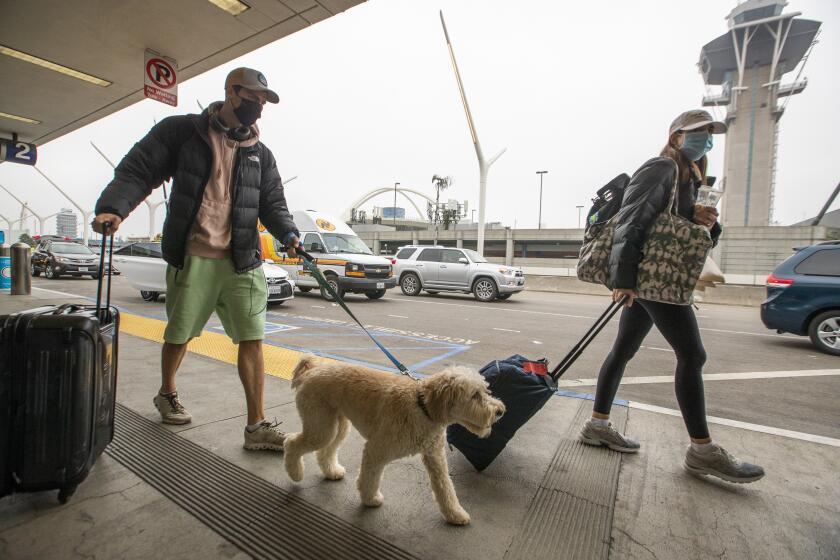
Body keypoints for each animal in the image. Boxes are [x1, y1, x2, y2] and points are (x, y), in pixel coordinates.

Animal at [282, 354, 506, 524]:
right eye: (474, 395)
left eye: (485, 391)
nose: (500, 411)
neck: (422, 408)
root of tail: (312, 368)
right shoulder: (376, 450)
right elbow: (369, 479)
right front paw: (370, 499)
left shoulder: (435, 458)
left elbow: (446, 488)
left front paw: (455, 514)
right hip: (321, 428)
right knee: (291, 443)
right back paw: (295, 473)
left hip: (336, 426)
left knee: (324, 452)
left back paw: (331, 472)